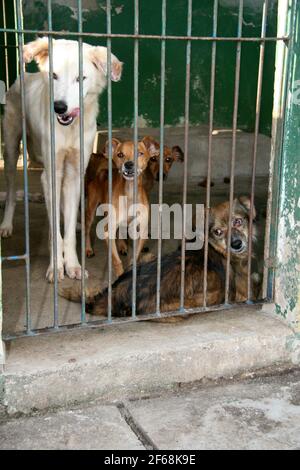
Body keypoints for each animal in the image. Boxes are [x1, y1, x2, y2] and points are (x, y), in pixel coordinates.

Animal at [0, 38, 122, 280]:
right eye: (53, 76)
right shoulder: (51, 174)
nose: (59, 107)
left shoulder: (75, 173)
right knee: (10, 192)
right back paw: (7, 224)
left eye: (80, 78)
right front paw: (56, 267)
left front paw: (73, 264)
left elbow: (68, 231)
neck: (69, 129)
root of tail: (24, 76)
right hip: (10, 151)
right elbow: (56, 231)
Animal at [61, 196, 260, 314]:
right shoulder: (245, 294)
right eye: (218, 232)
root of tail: (114, 295)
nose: (236, 244)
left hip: (145, 258)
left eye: (238, 221)